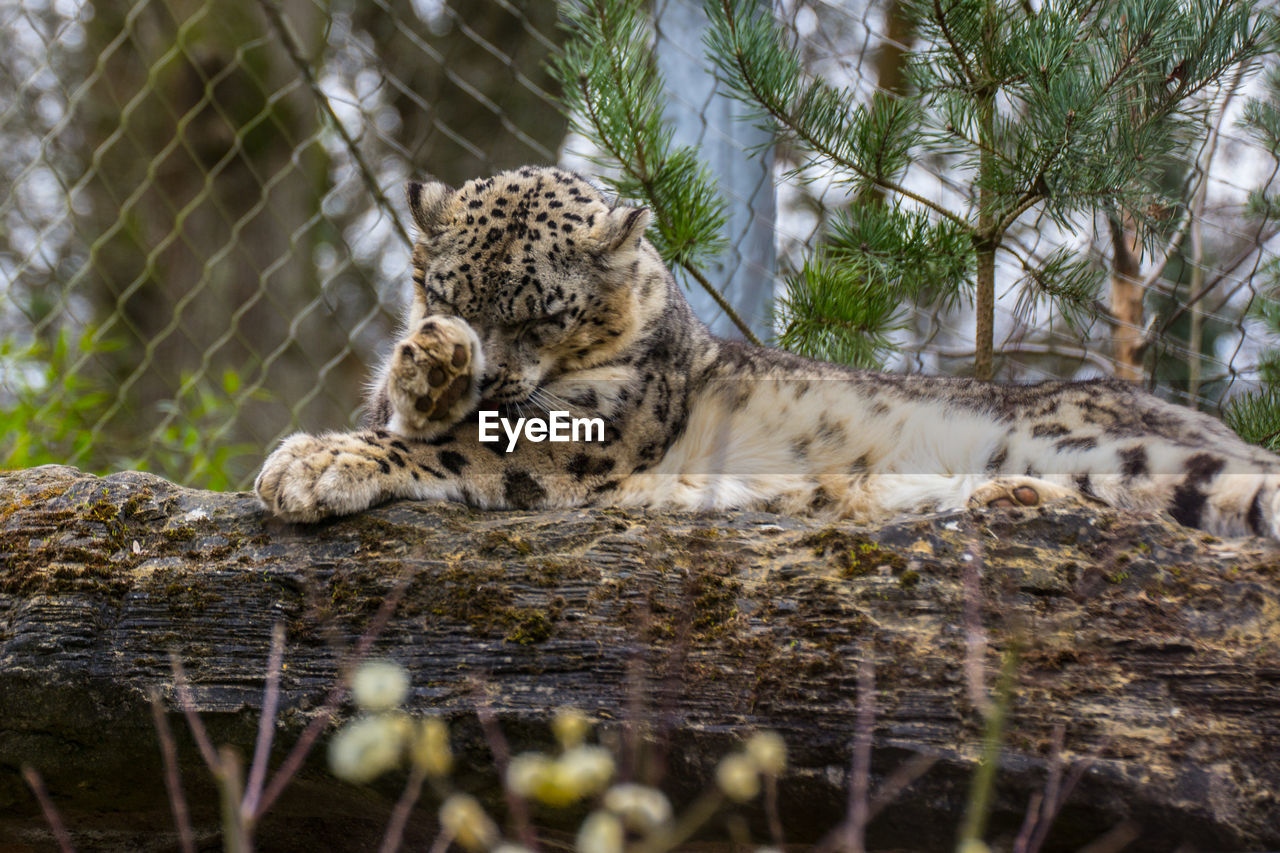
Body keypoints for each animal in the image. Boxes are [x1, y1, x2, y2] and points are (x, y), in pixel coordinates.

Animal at [254, 163, 1280, 537]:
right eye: (446, 291)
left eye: (544, 316)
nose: (497, 378)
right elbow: (394, 410)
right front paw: (429, 364)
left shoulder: (587, 432)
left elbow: (445, 450)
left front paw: (311, 464)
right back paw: (1004, 498)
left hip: (1129, 447)